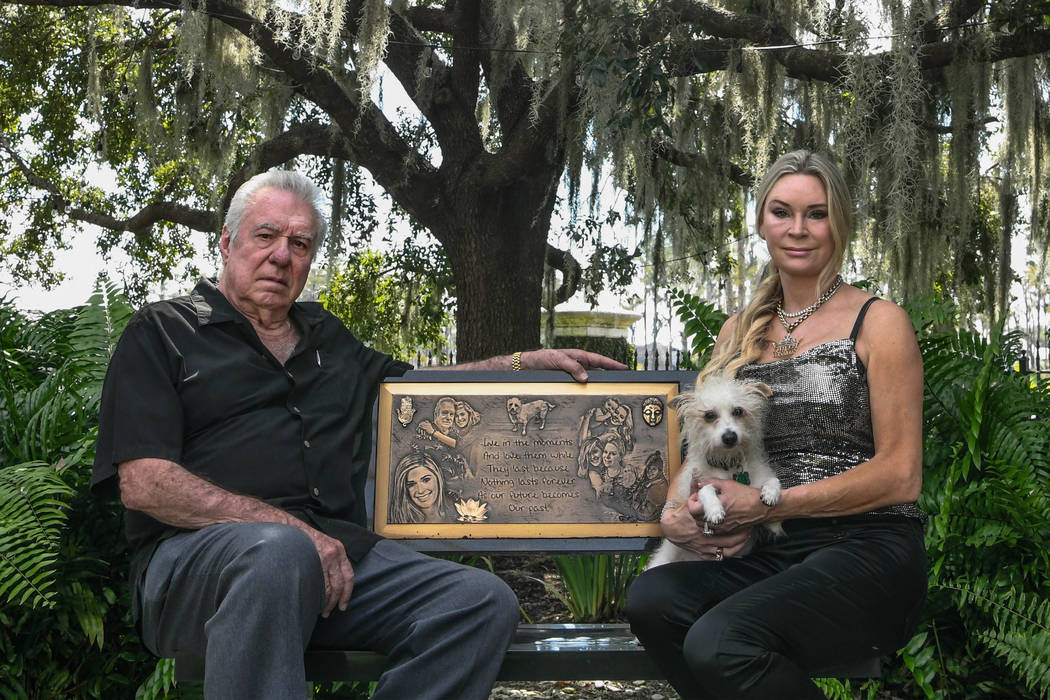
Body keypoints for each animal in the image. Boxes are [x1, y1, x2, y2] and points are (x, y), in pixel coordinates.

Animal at [642, 375, 785, 566]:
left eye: (738, 411)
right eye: (709, 415)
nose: (730, 437)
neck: (727, 464)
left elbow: (772, 480)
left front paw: (771, 494)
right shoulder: (694, 489)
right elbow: (706, 488)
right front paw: (714, 510)